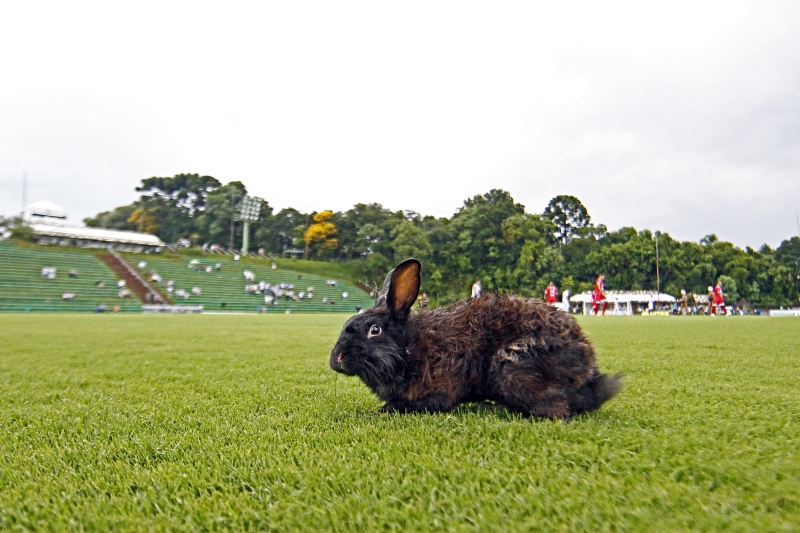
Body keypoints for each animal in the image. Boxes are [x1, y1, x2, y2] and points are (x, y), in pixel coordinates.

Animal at [330, 259, 621, 419]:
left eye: (374, 330)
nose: (338, 358)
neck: (407, 349)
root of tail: (589, 376)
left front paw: (385, 409)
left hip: (512, 365)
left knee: (556, 410)